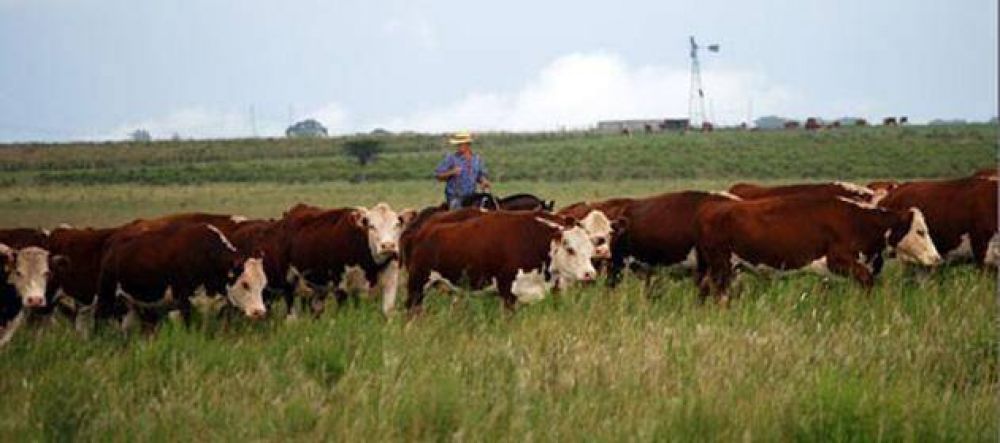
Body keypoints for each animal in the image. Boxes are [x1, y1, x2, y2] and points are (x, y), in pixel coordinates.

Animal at [402, 211, 596, 312]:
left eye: (590, 249)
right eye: (570, 249)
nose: (590, 274)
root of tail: (422, 230)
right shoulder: (508, 293)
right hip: (417, 285)